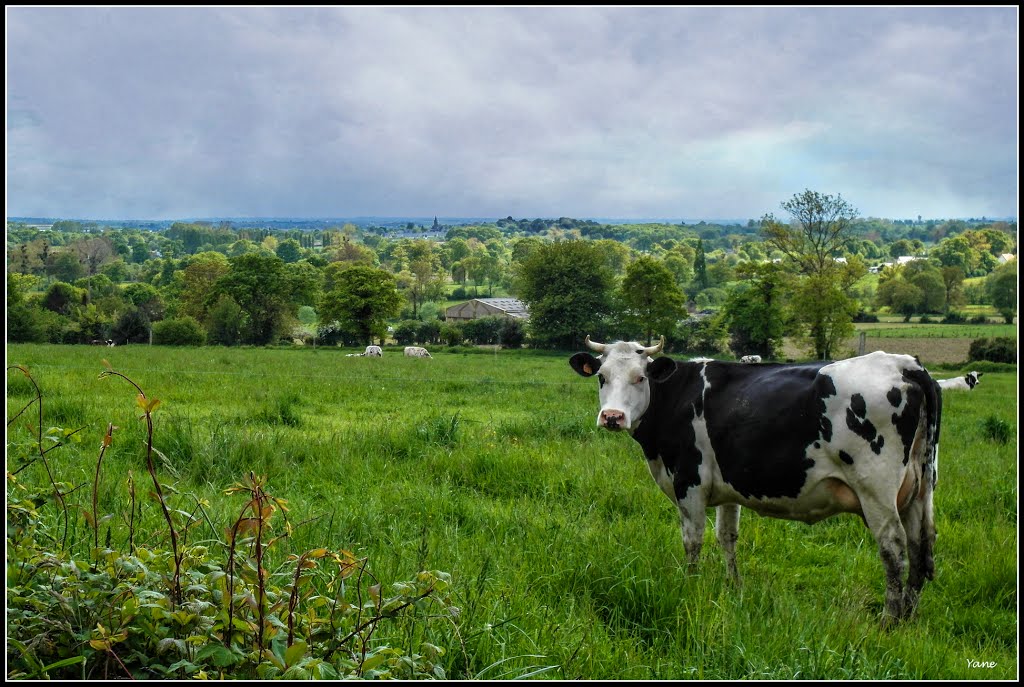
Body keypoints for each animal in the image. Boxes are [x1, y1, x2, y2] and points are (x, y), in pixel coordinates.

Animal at [573, 335, 937, 626]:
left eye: (640, 378)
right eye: (602, 377)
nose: (612, 417)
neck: (675, 396)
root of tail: (903, 364)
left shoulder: (689, 482)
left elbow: (692, 540)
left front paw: (690, 586)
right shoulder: (727, 487)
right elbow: (727, 537)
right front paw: (733, 587)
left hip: (876, 490)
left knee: (893, 549)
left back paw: (889, 621)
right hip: (920, 490)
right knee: (919, 546)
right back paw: (909, 616)